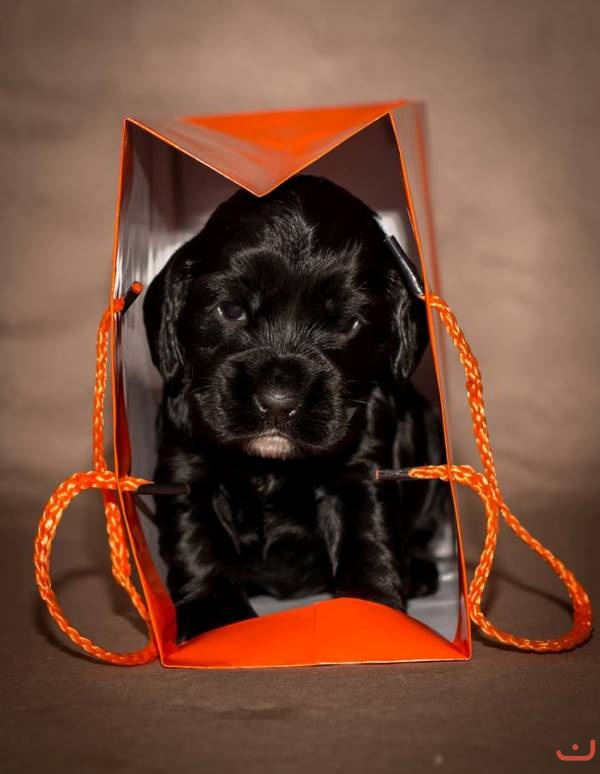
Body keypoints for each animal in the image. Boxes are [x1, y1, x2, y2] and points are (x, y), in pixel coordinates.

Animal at [143, 174, 449, 643]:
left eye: (347, 323)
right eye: (230, 309)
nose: (277, 401)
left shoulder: (362, 468)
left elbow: (369, 537)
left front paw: (372, 615)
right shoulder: (186, 466)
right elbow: (198, 541)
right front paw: (216, 619)